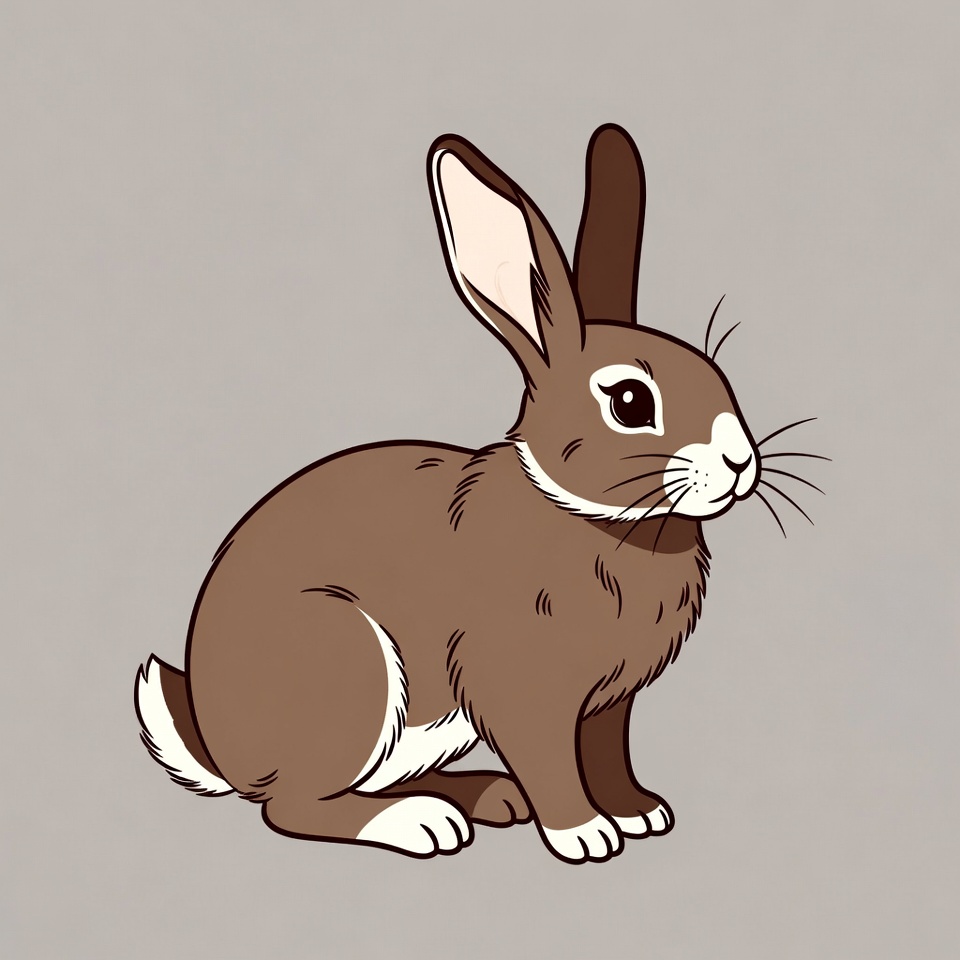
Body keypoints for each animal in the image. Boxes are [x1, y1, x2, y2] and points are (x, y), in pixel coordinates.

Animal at [135, 124, 765, 864]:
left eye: (716, 373)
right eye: (631, 402)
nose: (740, 461)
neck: (598, 521)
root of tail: (220, 750)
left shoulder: (609, 706)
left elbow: (607, 753)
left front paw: (639, 812)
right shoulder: (523, 687)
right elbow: (552, 761)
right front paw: (585, 834)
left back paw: (487, 797)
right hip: (347, 667)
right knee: (293, 806)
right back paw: (424, 823)